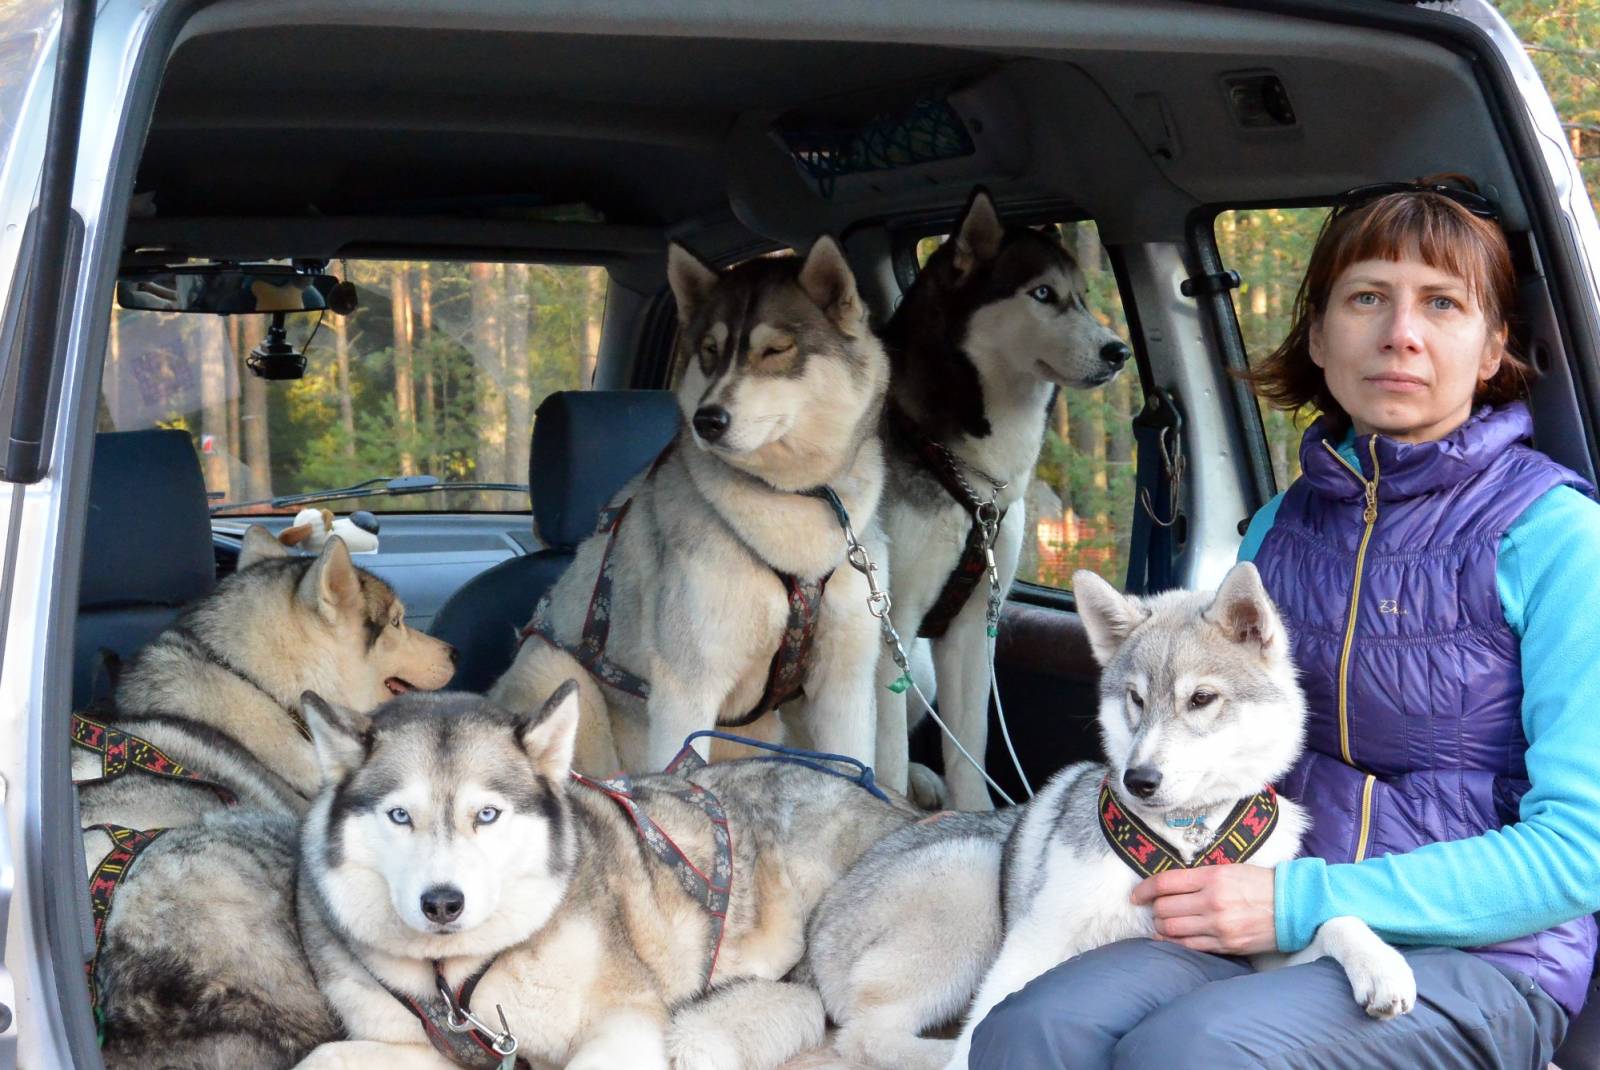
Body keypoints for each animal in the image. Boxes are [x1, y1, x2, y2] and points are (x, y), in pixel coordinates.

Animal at [291, 683, 918, 1070]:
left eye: (487, 814)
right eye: (400, 815)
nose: (442, 903)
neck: (454, 982)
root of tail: (894, 800)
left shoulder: (627, 1020)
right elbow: (322, 1057)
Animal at [490, 236, 891, 777]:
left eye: (775, 350)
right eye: (710, 351)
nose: (708, 419)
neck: (793, 496)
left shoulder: (843, 684)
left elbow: (855, 765)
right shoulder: (687, 686)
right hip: (553, 670)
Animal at [808, 563, 1417, 1070]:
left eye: (1201, 699)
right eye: (1135, 699)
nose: (1138, 780)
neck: (1186, 840)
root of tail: (816, 931)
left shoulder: (1258, 936)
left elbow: (1334, 921)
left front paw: (1381, 964)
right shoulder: (1033, 941)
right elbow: (985, 1024)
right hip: (972, 878)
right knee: (868, 1034)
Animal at [874, 188, 1130, 810]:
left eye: (1083, 298)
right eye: (1042, 294)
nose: (1119, 351)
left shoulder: (970, 631)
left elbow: (970, 744)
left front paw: (972, 812)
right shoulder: (888, 625)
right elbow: (883, 753)